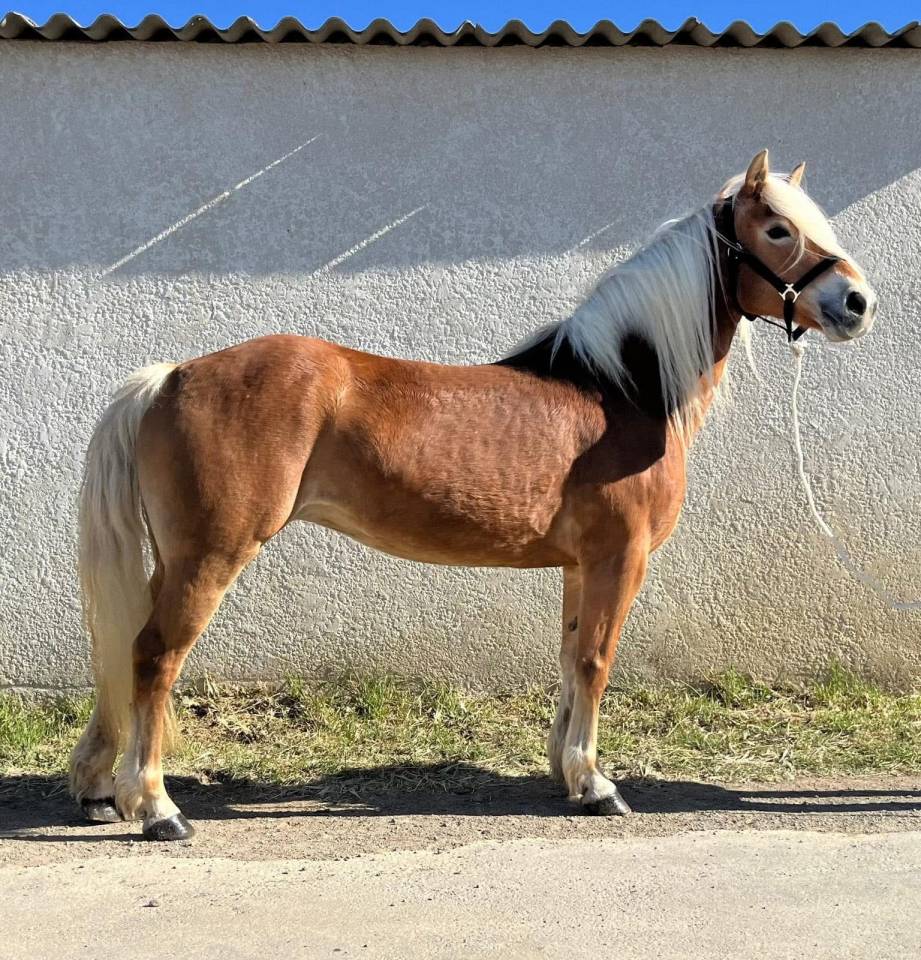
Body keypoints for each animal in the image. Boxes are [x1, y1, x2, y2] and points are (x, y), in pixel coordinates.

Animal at [69, 150, 877, 840]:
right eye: (777, 229)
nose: (857, 303)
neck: (619, 388)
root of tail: (173, 375)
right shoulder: (620, 558)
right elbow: (597, 660)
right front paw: (597, 786)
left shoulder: (578, 566)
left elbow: (570, 658)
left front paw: (566, 774)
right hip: (211, 554)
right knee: (154, 657)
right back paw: (157, 807)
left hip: (174, 559)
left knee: (125, 647)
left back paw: (100, 789)